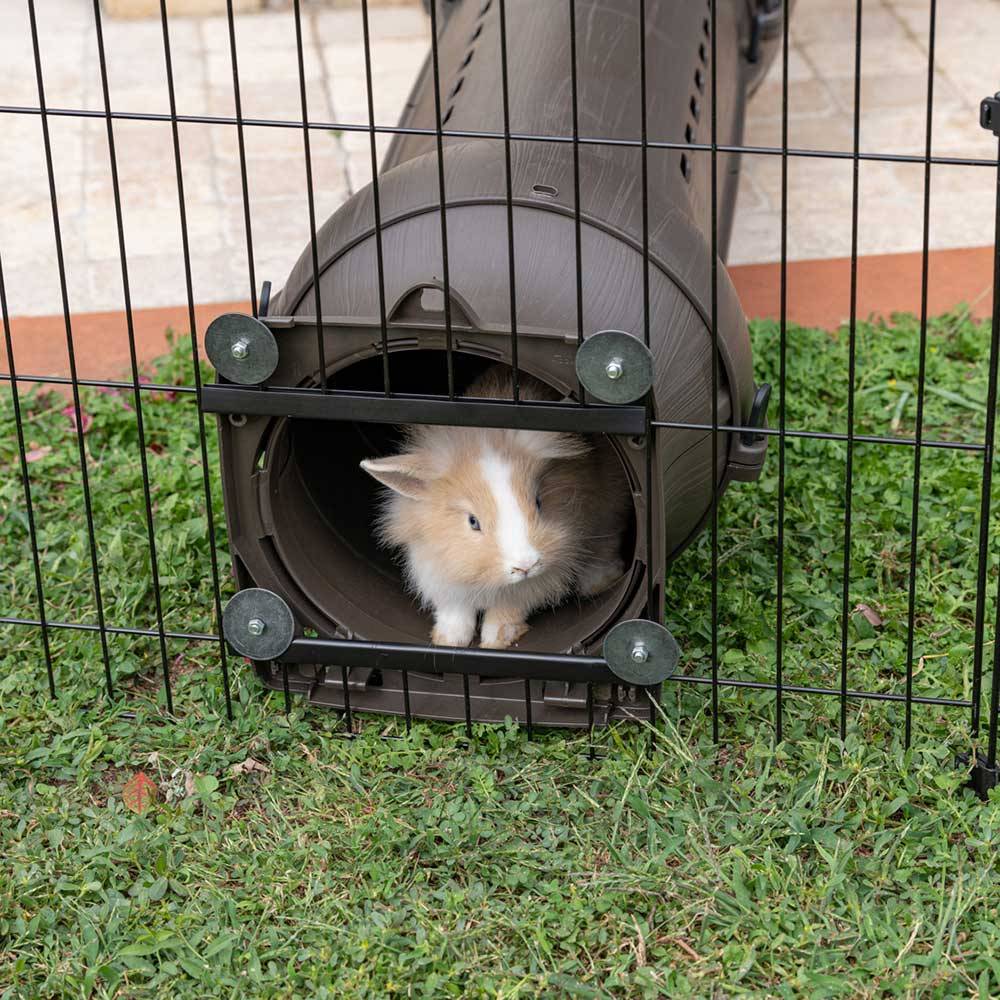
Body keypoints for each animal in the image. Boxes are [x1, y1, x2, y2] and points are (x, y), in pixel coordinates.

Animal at [360, 364, 631, 649]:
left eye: (539, 502)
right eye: (473, 522)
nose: (525, 565)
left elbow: (508, 607)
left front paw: (496, 640)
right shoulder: (438, 570)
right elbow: (454, 608)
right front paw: (449, 639)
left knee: (607, 541)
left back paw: (599, 582)